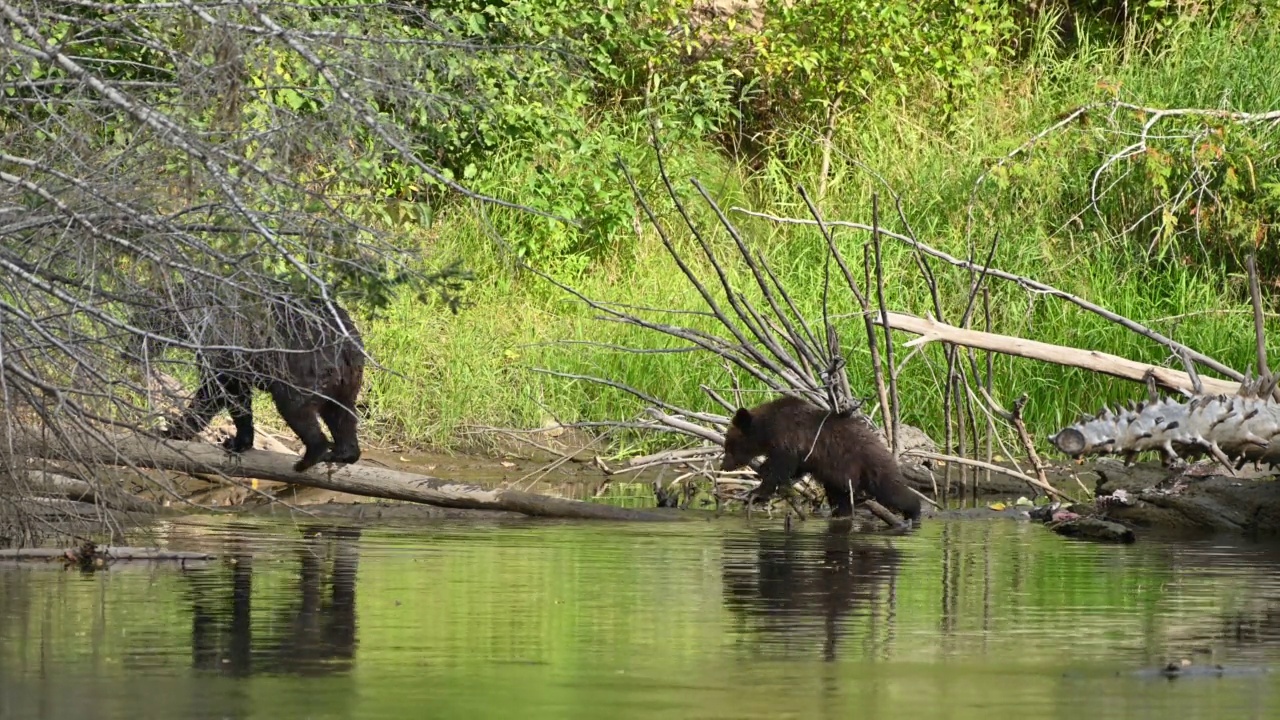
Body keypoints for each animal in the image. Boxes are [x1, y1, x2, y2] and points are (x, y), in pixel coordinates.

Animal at [131, 280, 366, 471]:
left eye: (142, 321)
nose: (130, 348)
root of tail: (347, 344)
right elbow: (238, 397)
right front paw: (239, 441)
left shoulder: (224, 346)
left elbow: (216, 391)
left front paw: (172, 429)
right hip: (347, 378)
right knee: (341, 412)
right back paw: (343, 453)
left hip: (303, 366)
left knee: (296, 407)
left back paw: (310, 457)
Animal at [721, 392, 921, 520]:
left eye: (729, 446)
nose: (724, 466)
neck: (767, 428)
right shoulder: (805, 454)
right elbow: (796, 467)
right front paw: (763, 471)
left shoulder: (787, 440)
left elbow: (780, 468)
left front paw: (758, 490)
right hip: (841, 476)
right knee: (840, 497)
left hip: (869, 466)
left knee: (894, 490)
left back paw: (914, 511)